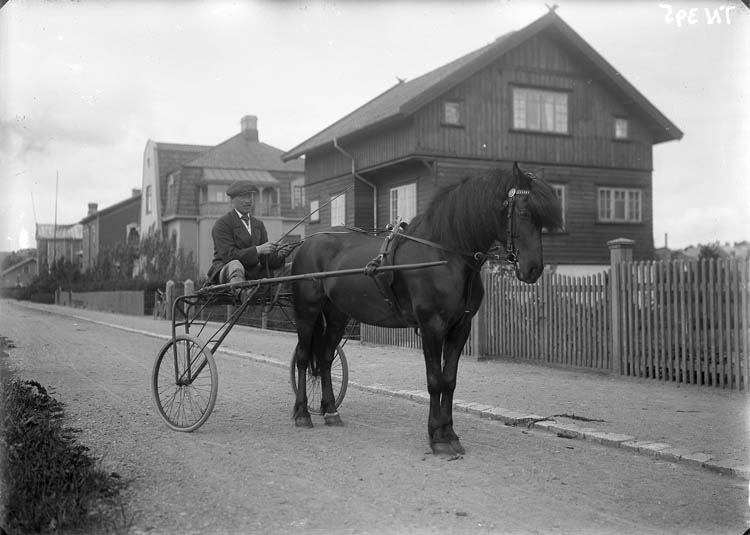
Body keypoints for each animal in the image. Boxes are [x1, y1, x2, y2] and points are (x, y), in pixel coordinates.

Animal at [290, 163, 560, 456]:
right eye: (524, 212)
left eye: (542, 220)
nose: (533, 269)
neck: (445, 256)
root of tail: (307, 243)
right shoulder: (432, 327)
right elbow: (434, 380)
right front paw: (437, 437)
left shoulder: (460, 329)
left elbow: (449, 380)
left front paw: (450, 433)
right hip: (307, 312)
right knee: (303, 358)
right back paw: (302, 413)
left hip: (337, 315)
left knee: (325, 358)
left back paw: (330, 411)